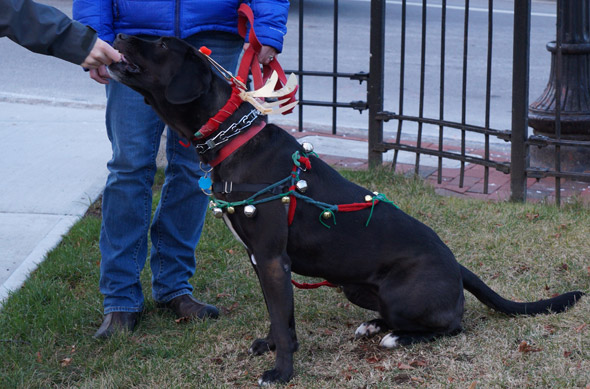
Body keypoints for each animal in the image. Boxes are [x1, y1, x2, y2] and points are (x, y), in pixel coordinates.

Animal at [108, 35, 584, 384]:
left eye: (161, 44)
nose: (119, 34)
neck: (234, 138)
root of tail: (458, 266)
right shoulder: (260, 260)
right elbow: (278, 316)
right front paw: (272, 347)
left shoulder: (272, 258)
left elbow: (282, 320)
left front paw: (281, 372)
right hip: (356, 287)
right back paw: (375, 326)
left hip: (404, 294)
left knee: (452, 325)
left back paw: (395, 338)